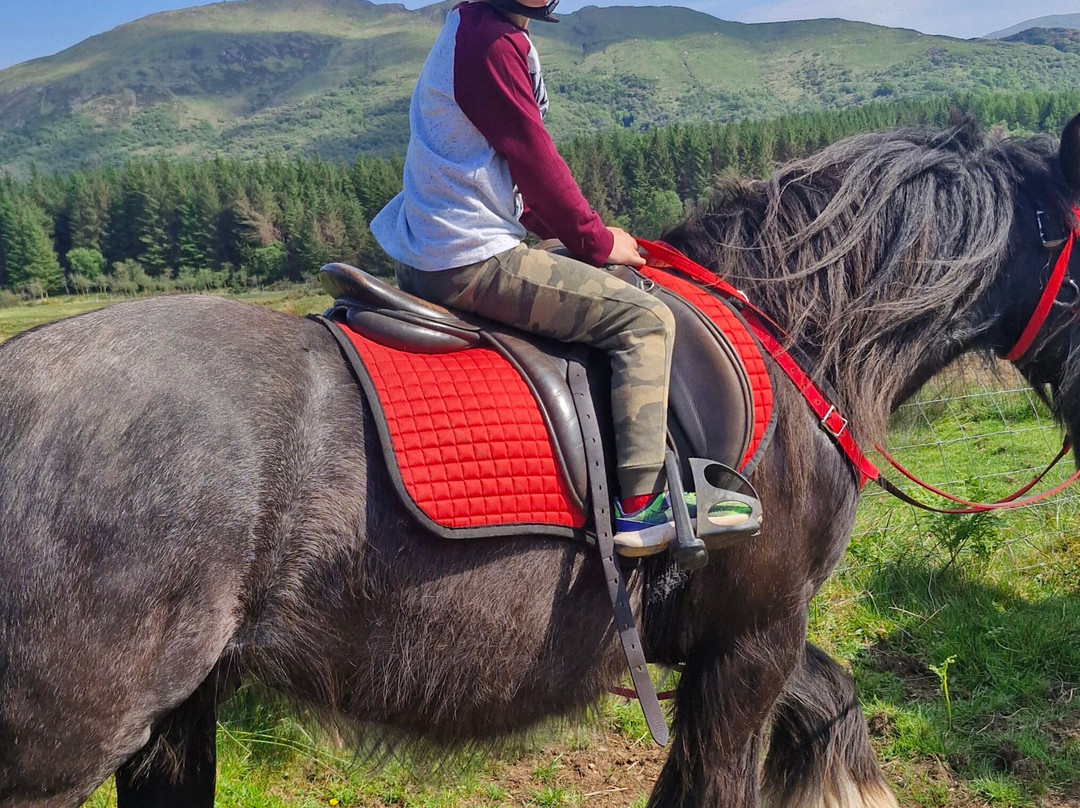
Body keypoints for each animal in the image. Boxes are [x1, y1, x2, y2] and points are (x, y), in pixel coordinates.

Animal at [2, 112, 1079, 808]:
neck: (793, 333)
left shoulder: (741, 634)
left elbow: (834, 701)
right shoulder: (753, 635)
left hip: (172, 719)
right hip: (63, 747)